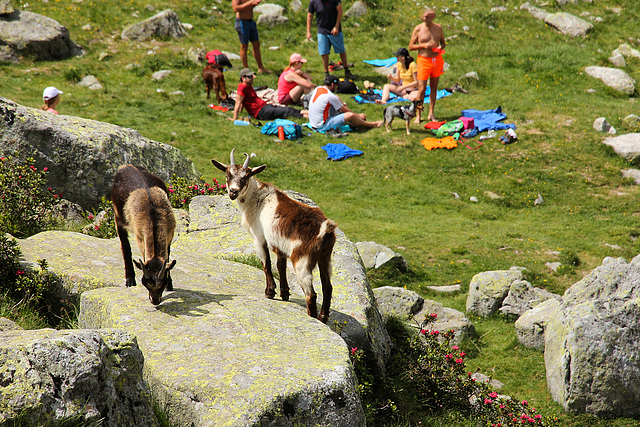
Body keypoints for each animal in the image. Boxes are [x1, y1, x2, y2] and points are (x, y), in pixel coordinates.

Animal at [110, 166, 175, 306]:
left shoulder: (170, 235)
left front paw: (170, 285)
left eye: (163, 283)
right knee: (125, 246)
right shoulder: (140, 237)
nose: (155, 301)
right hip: (118, 216)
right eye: (145, 283)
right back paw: (129, 279)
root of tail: (125, 166)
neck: (153, 213)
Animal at [212, 149, 338, 322]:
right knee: (328, 287)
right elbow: (280, 266)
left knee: (311, 294)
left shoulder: (258, 237)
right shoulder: (280, 245)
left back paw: (312, 318)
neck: (256, 198)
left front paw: (270, 292)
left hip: (302, 259)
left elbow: (266, 264)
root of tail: (325, 229)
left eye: (245, 177)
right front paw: (284, 293)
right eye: (227, 175)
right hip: (325, 257)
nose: (233, 192)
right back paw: (323, 317)